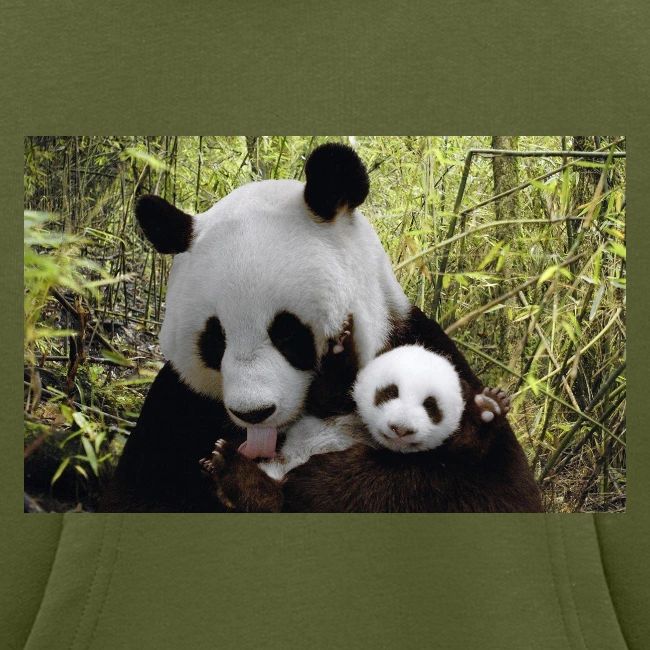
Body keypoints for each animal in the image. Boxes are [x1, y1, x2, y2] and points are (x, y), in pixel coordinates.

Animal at [100, 143, 541, 513]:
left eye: (287, 333)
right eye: (215, 339)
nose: (254, 413)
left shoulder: (422, 347)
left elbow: (491, 490)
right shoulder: (178, 406)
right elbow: (138, 495)